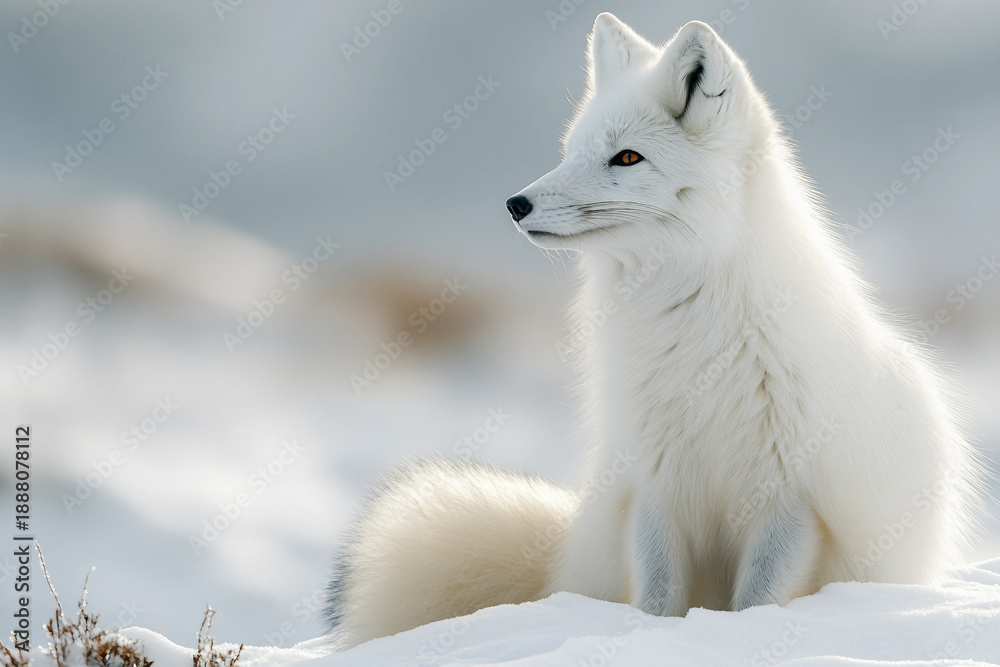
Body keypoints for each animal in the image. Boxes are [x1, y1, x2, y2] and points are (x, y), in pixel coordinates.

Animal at [324, 13, 982, 649]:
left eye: (627, 158)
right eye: (572, 151)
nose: (516, 204)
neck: (699, 343)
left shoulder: (792, 500)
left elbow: (758, 602)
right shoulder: (653, 485)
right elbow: (657, 597)